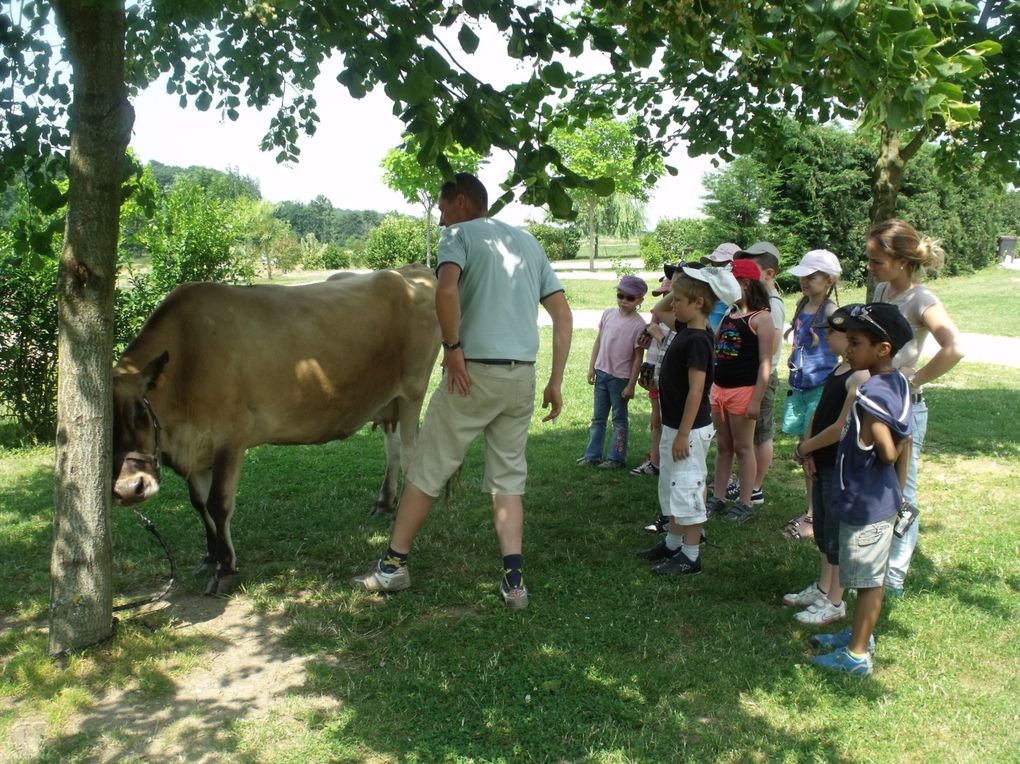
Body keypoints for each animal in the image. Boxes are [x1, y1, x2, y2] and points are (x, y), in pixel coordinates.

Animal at [110, 265, 438, 591]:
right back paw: (384, 502)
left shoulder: (231, 437)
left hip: (412, 391)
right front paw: (210, 557)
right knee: (393, 449)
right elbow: (200, 505)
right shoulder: (195, 448)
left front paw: (225, 569)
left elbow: (218, 504)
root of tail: (408, 270)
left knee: (410, 455)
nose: (129, 490)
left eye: (140, 413)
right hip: (389, 402)